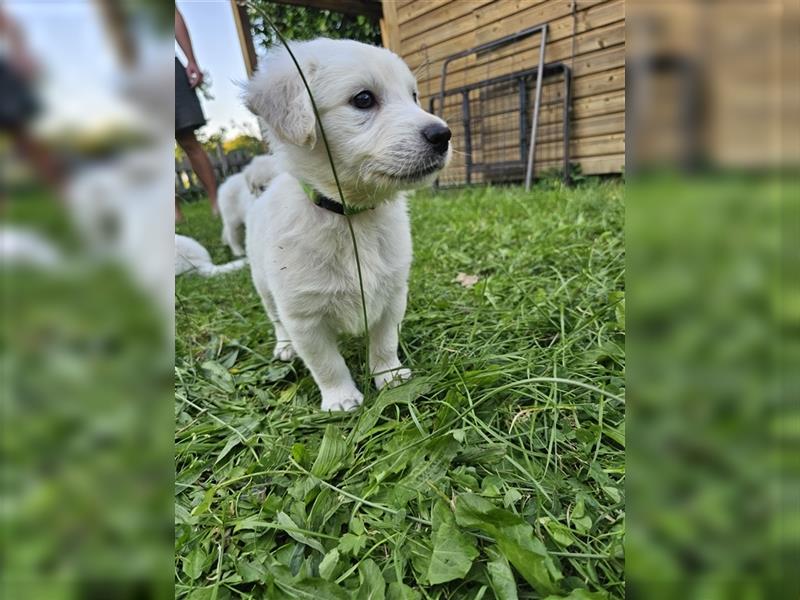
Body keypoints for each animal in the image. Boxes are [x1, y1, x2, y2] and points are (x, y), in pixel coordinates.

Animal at [247, 38, 450, 412]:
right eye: (364, 99)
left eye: (413, 96)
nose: (444, 134)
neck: (351, 216)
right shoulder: (303, 318)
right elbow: (327, 363)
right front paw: (341, 399)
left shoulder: (392, 294)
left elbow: (385, 342)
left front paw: (389, 377)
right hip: (264, 286)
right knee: (276, 320)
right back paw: (283, 347)